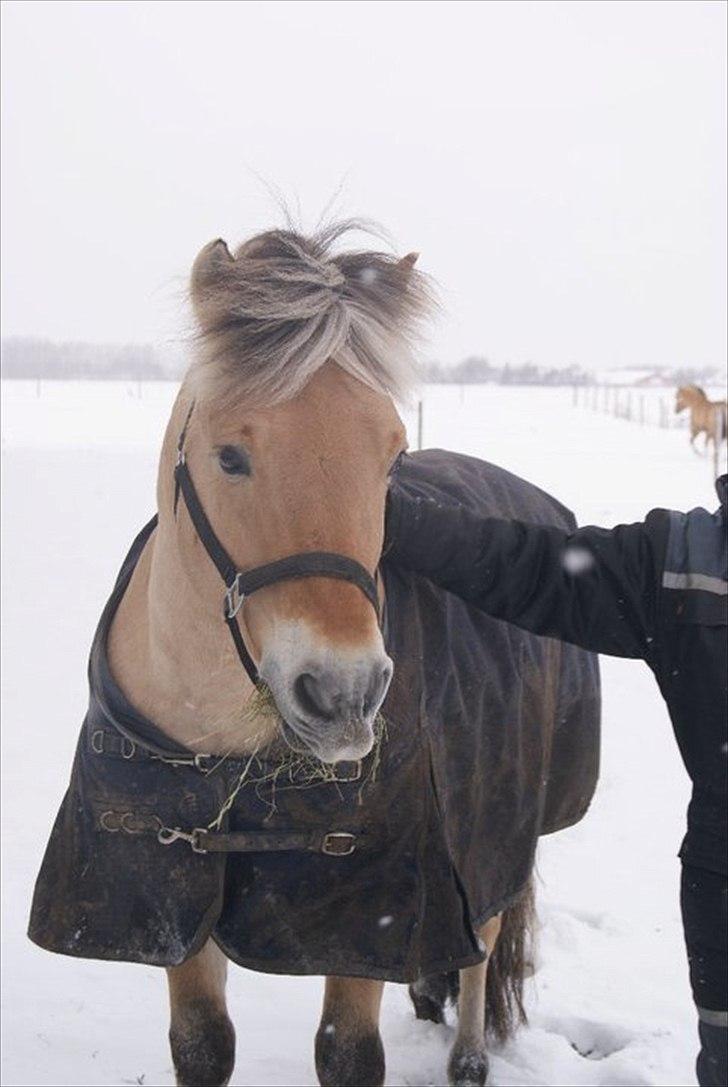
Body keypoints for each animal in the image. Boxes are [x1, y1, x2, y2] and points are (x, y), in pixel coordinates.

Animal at [28, 222, 599, 1087]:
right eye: (230, 455)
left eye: (391, 454)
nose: (344, 694)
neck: (222, 741)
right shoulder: (177, 898)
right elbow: (201, 1043)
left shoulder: (369, 911)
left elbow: (349, 1049)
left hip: (496, 825)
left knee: (486, 939)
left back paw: (468, 1057)